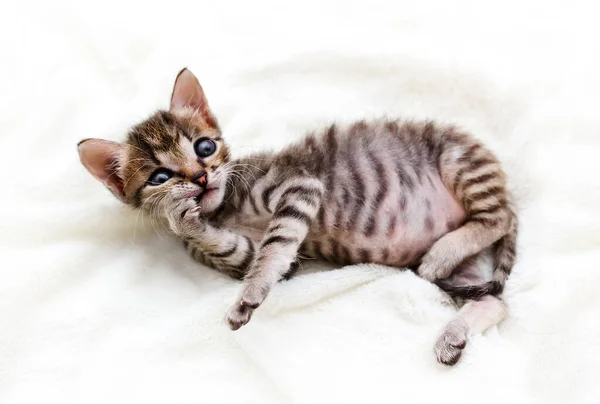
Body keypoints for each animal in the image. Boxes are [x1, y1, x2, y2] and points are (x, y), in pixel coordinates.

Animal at [77, 68, 516, 364]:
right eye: (160, 177)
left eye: (204, 147)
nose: (200, 178)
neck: (224, 209)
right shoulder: (245, 250)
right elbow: (235, 248)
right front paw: (185, 219)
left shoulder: (299, 185)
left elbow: (274, 246)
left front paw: (250, 294)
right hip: (465, 270)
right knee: (494, 302)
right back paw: (454, 330)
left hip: (460, 161)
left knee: (498, 219)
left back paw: (443, 253)